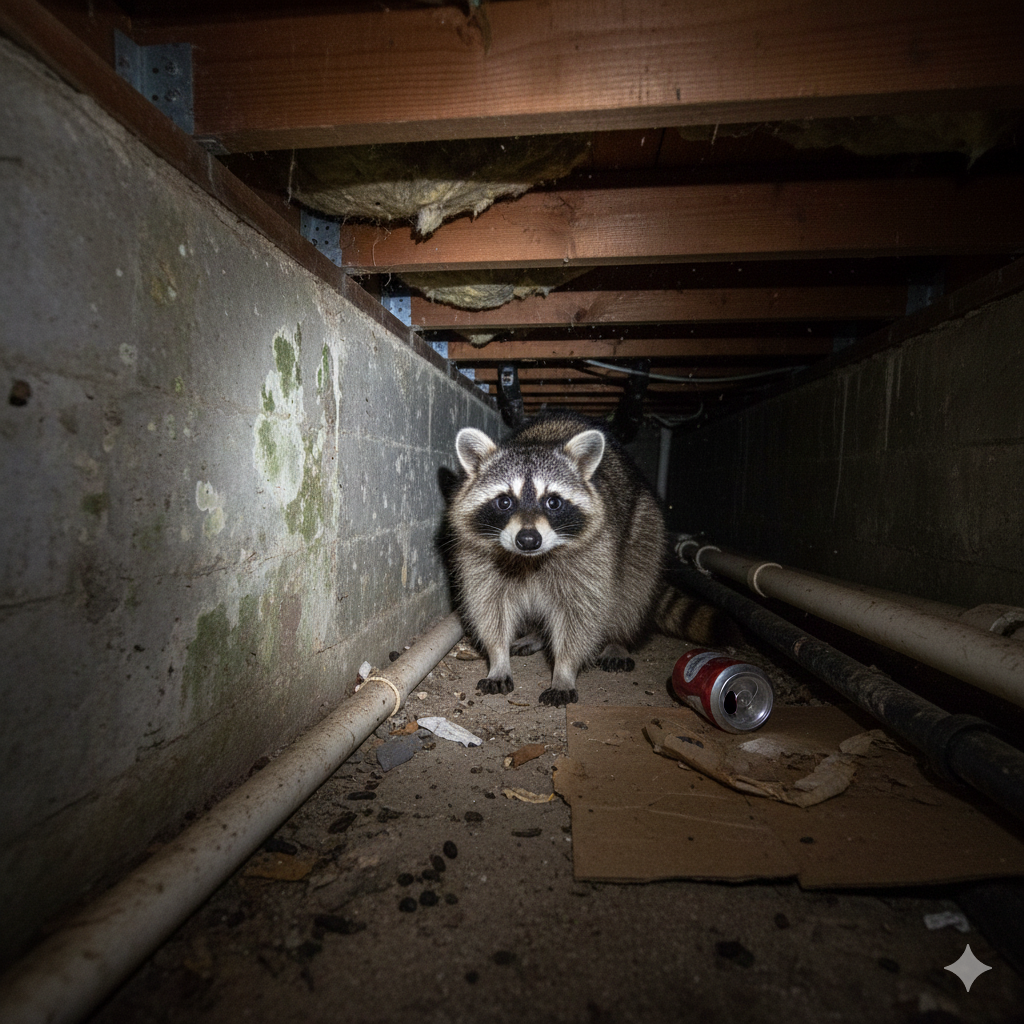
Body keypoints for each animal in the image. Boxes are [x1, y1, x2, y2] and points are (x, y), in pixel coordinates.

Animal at [446, 412, 721, 706]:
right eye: (505, 502)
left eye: (553, 502)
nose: (528, 540)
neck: (531, 559)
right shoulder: (480, 556)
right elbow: (490, 607)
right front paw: (498, 658)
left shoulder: (593, 554)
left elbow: (580, 617)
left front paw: (564, 670)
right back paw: (535, 634)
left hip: (646, 529)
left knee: (633, 590)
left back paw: (618, 639)